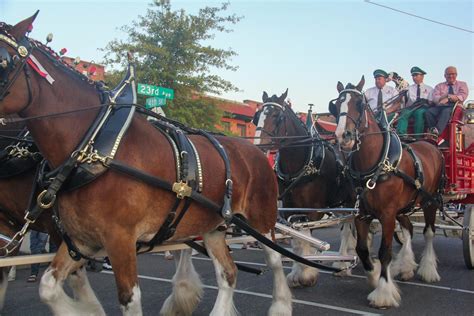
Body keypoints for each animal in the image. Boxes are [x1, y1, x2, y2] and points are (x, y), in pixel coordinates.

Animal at [0, 13, 292, 314]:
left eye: (2, 61)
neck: (95, 146)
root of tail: (256, 151)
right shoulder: (81, 240)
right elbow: (48, 286)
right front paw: (88, 308)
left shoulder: (120, 239)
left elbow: (129, 298)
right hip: (213, 226)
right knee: (228, 273)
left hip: (262, 219)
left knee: (275, 261)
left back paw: (281, 305)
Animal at [256, 89, 356, 286]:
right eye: (257, 116)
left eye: (277, 116)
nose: (258, 147)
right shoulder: (289, 206)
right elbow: (297, 239)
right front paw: (297, 273)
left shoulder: (314, 209)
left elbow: (308, 236)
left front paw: (307, 274)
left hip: (351, 202)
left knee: (348, 229)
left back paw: (342, 263)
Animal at [330, 77, 444, 308]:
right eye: (337, 105)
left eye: (360, 104)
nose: (343, 136)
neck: (377, 164)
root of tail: (431, 144)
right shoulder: (362, 214)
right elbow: (362, 250)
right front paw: (374, 276)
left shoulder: (388, 214)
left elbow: (385, 252)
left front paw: (383, 292)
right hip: (405, 206)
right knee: (409, 229)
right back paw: (407, 267)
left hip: (430, 202)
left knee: (428, 232)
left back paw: (428, 269)